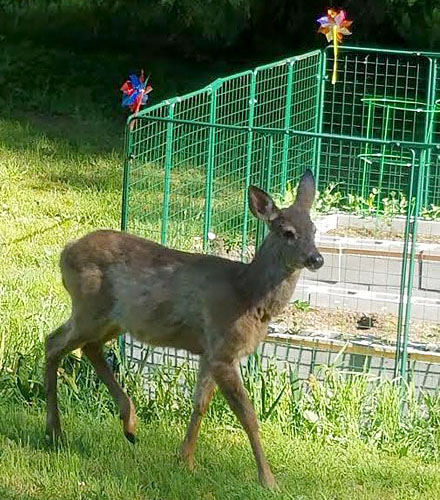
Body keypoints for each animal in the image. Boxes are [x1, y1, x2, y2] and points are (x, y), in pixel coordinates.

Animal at [45, 169, 324, 488]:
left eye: (314, 230)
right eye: (287, 232)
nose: (317, 258)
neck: (247, 294)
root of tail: (66, 251)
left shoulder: (209, 352)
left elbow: (200, 403)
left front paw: (185, 460)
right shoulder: (223, 349)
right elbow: (248, 415)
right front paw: (268, 479)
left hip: (112, 320)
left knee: (88, 348)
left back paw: (129, 425)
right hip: (89, 308)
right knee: (53, 342)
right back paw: (56, 432)